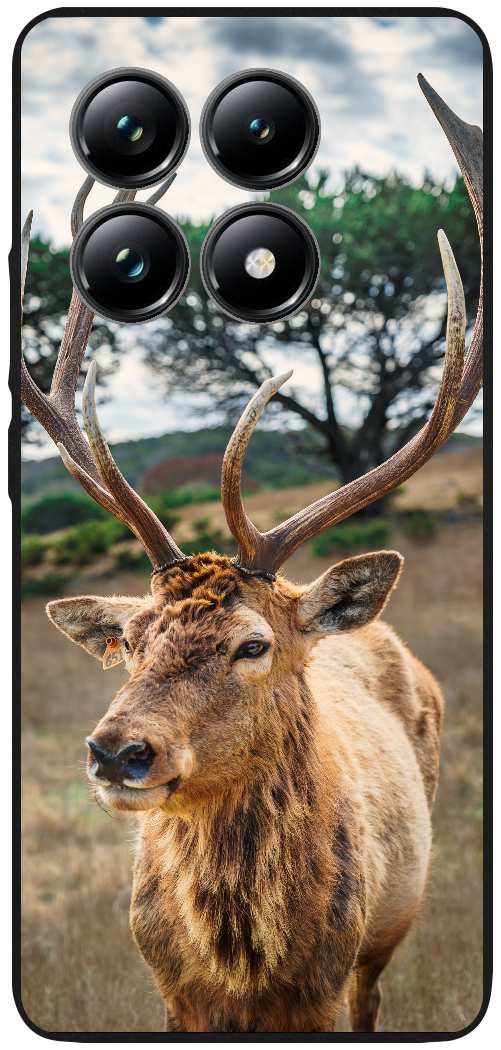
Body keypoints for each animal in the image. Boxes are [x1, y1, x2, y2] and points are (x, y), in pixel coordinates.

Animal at [20, 76, 483, 1033]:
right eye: (132, 641)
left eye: (252, 644)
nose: (117, 752)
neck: (243, 967)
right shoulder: (169, 992)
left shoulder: (330, 984)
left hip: (388, 934)